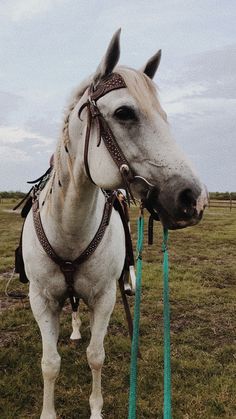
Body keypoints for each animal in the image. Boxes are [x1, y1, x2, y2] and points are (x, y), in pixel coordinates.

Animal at [21, 30, 206, 419]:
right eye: (124, 112)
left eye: (164, 116)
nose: (194, 198)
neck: (69, 228)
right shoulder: (41, 300)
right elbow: (50, 363)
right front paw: (48, 411)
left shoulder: (105, 298)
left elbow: (96, 356)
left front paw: (95, 409)